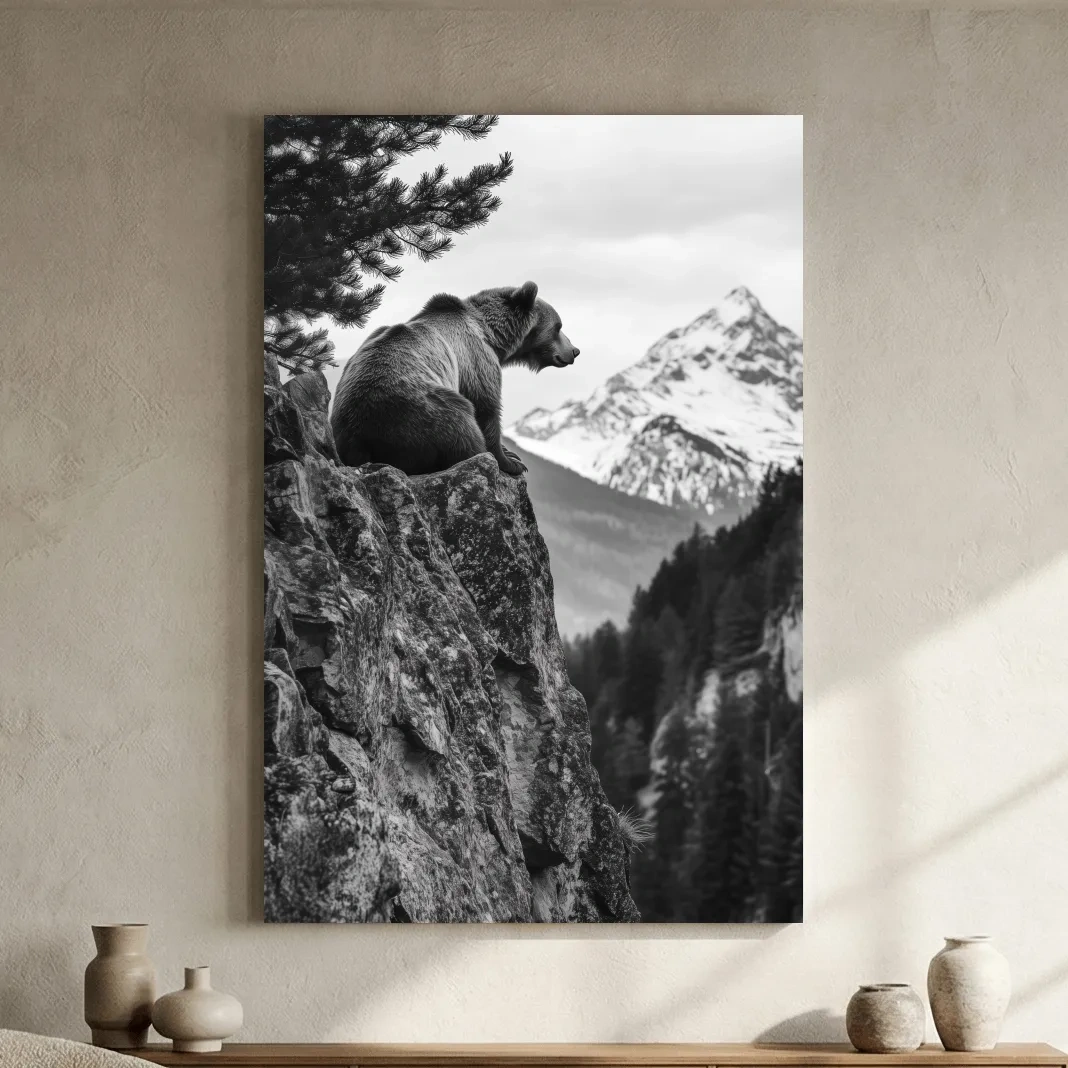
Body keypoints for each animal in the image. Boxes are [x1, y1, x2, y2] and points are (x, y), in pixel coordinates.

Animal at [330, 281, 579, 477]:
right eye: (558, 327)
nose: (575, 351)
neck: (493, 336)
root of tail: (359, 439)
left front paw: (510, 454)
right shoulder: (476, 359)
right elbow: (487, 407)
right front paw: (511, 461)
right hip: (420, 411)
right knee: (461, 425)